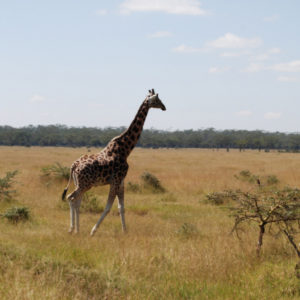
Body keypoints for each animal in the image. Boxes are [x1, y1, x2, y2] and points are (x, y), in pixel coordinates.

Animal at [61, 88, 166, 236]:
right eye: (157, 99)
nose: (164, 107)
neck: (126, 149)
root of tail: (73, 165)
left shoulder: (121, 181)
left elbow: (121, 207)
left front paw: (125, 231)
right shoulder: (115, 180)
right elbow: (108, 207)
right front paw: (93, 231)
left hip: (80, 183)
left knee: (76, 201)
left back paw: (77, 229)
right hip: (85, 184)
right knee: (71, 198)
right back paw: (72, 229)